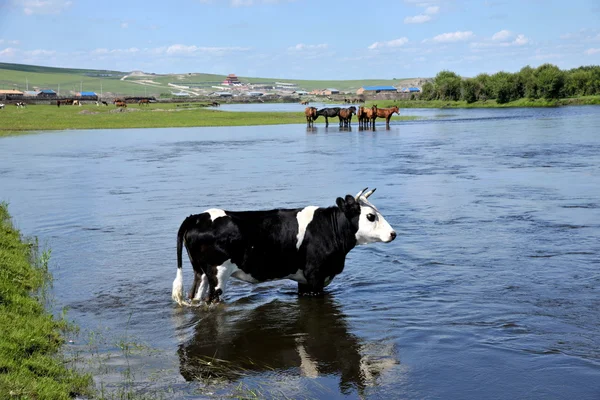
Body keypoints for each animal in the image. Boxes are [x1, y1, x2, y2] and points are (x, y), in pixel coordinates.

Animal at [172, 189, 398, 304]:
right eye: (371, 216)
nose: (393, 234)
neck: (327, 228)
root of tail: (197, 217)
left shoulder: (304, 280)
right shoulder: (315, 275)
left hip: (200, 272)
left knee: (195, 296)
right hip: (217, 274)